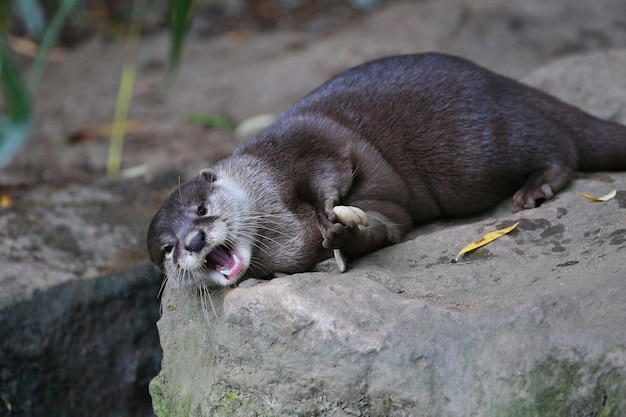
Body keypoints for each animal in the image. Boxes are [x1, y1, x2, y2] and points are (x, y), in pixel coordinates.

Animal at [146, 52, 624, 288]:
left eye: (201, 208)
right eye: (167, 249)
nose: (194, 241)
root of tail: (499, 81)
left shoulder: (304, 143)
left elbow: (327, 169)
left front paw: (329, 215)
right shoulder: (387, 215)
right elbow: (384, 227)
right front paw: (343, 239)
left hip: (479, 146)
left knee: (557, 143)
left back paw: (535, 187)